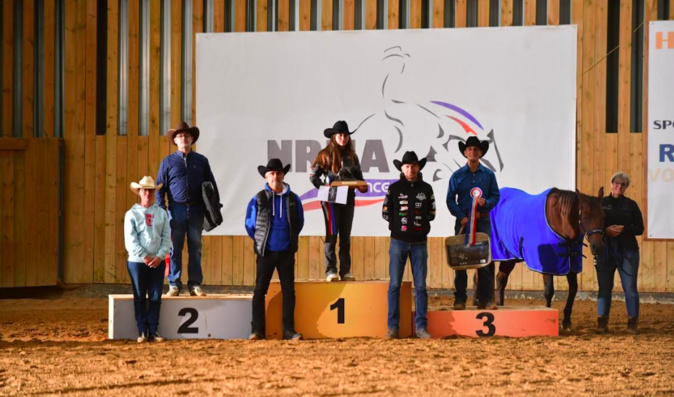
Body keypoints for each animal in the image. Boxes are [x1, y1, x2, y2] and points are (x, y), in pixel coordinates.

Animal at [484, 187, 604, 330]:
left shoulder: (571, 264)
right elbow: (549, 291)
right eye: (585, 217)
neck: (560, 221)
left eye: (603, 216)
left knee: (501, 279)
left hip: (509, 257)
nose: (598, 247)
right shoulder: (546, 265)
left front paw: (566, 321)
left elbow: (573, 289)